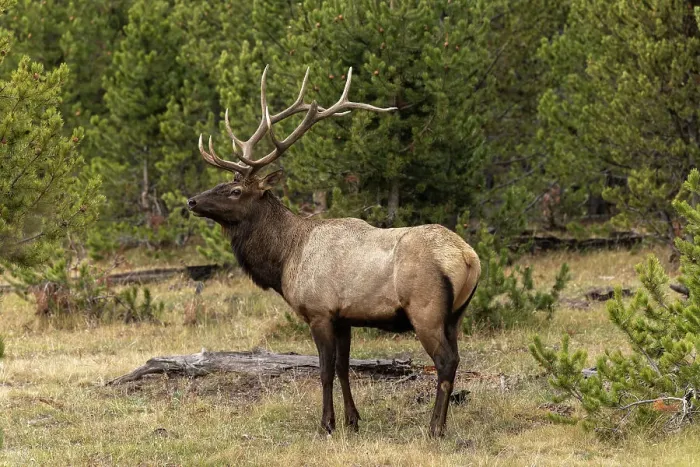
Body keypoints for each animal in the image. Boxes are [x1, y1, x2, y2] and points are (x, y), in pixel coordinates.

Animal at [187, 66, 481, 438]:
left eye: (236, 190)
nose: (192, 201)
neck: (284, 259)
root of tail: (468, 257)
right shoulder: (344, 317)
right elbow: (344, 367)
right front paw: (353, 420)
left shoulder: (319, 312)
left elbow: (324, 370)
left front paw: (326, 424)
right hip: (456, 314)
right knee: (455, 358)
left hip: (425, 309)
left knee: (445, 361)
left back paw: (434, 428)